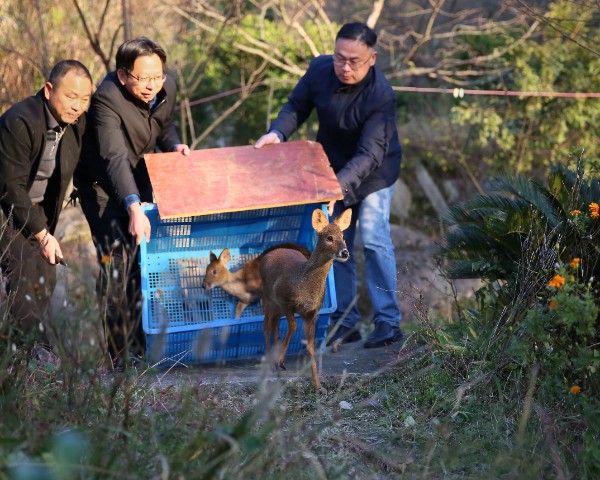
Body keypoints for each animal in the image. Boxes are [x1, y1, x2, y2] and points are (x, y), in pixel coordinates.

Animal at [260, 208, 352, 393]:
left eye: (343, 236)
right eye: (329, 237)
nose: (345, 252)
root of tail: (268, 253)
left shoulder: (312, 312)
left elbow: (310, 346)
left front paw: (319, 386)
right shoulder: (285, 300)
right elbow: (293, 326)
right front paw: (280, 360)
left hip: (276, 306)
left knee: (273, 324)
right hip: (268, 298)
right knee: (266, 325)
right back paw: (271, 362)